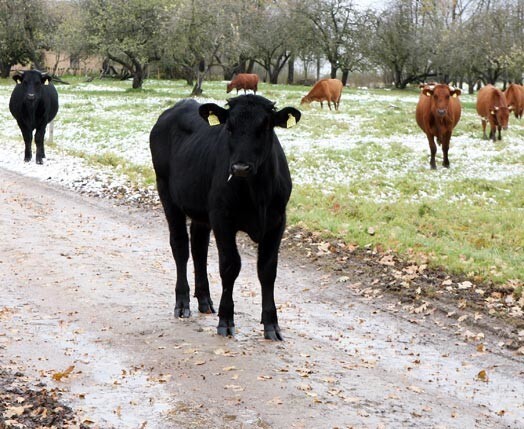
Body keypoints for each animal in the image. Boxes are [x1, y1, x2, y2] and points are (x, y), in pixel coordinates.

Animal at [149, 95, 300, 340]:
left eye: (265, 127)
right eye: (229, 128)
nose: (240, 167)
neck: (257, 192)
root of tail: (180, 105)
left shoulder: (277, 221)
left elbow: (268, 270)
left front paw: (271, 324)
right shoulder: (222, 217)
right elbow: (230, 265)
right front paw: (226, 319)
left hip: (200, 208)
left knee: (199, 247)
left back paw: (204, 300)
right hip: (166, 193)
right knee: (180, 246)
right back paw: (182, 303)